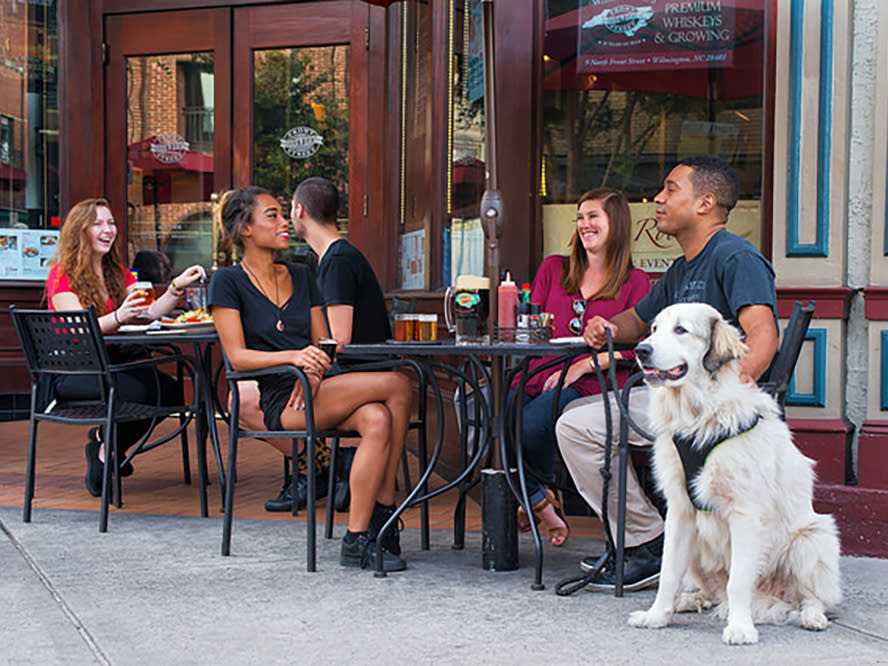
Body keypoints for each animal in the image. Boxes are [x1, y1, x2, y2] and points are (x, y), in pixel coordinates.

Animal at [624, 302, 840, 644]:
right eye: (654, 329)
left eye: (680, 330)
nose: (641, 350)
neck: (698, 415)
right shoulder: (680, 511)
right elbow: (669, 573)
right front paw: (657, 616)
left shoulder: (745, 514)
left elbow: (738, 580)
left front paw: (740, 628)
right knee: (712, 592)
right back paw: (689, 601)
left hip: (814, 537)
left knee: (811, 597)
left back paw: (812, 616)